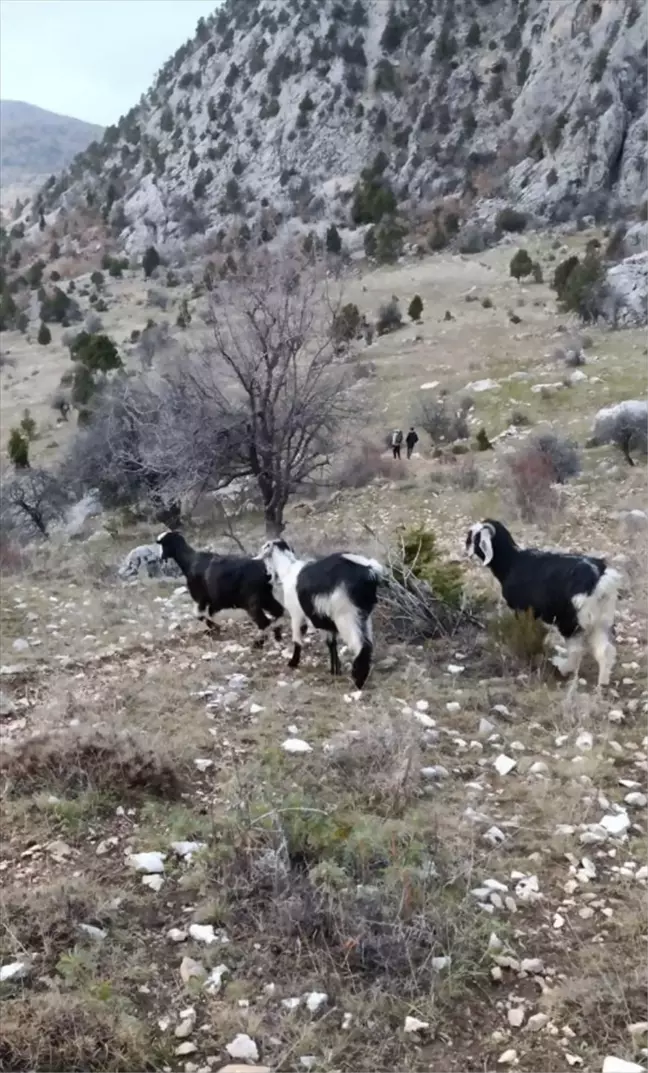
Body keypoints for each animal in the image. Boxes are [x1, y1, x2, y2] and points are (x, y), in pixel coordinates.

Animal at [258, 540, 386, 691]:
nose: (267, 574)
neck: (288, 569)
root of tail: (368, 569)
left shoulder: (296, 614)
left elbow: (297, 639)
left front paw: (293, 662)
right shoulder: (326, 620)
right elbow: (331, 644)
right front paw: (335, 670)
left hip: (347, 615)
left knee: (361, 645)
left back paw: (358, 680)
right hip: (363, 616)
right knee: (367, 643)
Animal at [465, 519, 622, 686]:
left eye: (475, 537)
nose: (466, 546)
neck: (512, 562)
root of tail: (598, 579)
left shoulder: (522, 610)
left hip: (570, 621)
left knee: (576, 651)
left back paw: (562, 667)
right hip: (601, 620)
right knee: (605, 651)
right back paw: (602, 683)